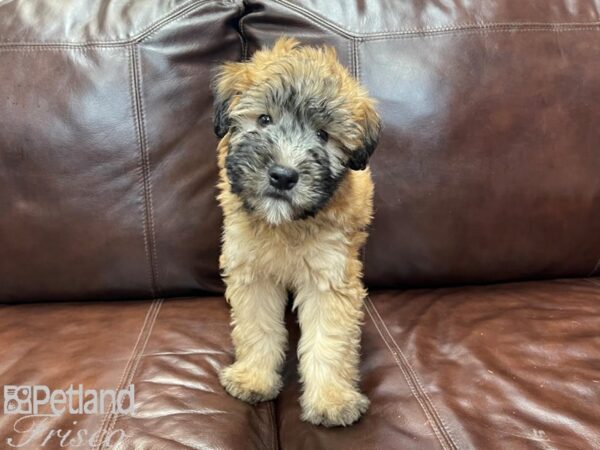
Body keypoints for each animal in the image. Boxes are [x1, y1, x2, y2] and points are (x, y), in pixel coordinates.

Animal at [211, 37, 380, 426]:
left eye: (323, 135)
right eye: (264, 119)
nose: (283, 176)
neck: (286, 225)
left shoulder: (330, 276)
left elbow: (329, 340)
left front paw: (332, 400)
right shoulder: (252, 272)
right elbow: (257, 327)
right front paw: (254, 378)